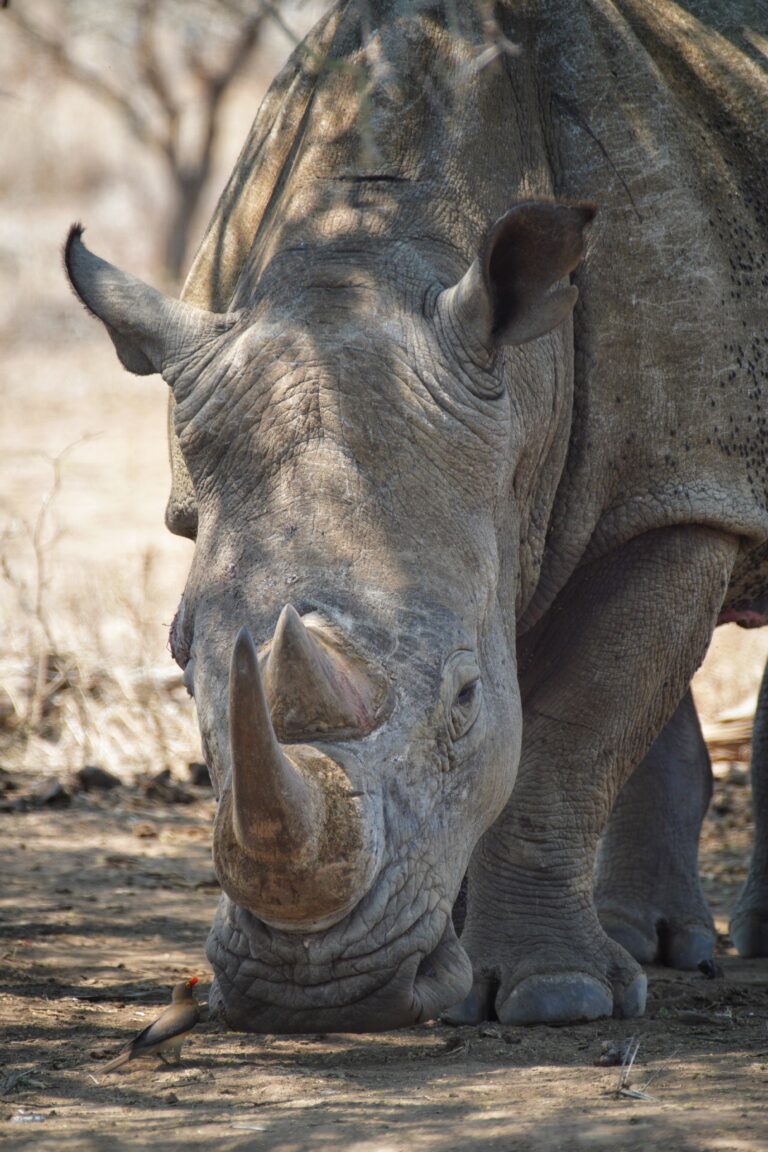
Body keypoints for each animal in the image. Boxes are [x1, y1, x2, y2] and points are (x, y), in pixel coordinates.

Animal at [66, 0, 768, 1027]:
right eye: (179, 655)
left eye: (466, 699)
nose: (311, 994)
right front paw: (465, 964)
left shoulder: (683, 485)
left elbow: (571, 731)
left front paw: (554, 998)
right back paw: (657, 943)